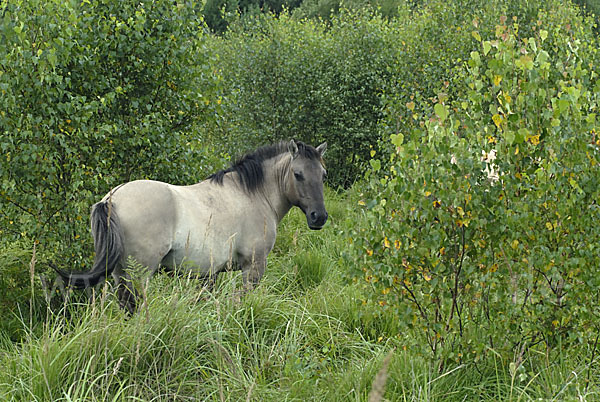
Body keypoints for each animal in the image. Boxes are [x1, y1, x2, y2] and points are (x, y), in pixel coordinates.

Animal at [56, 140, 328, 312]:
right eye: (298, 174)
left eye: (323, 175)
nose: (319, 217)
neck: (254, 195)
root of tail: (111, 199)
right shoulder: (253, 267)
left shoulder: (209, 274)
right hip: (138, 275)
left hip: (120, 274)